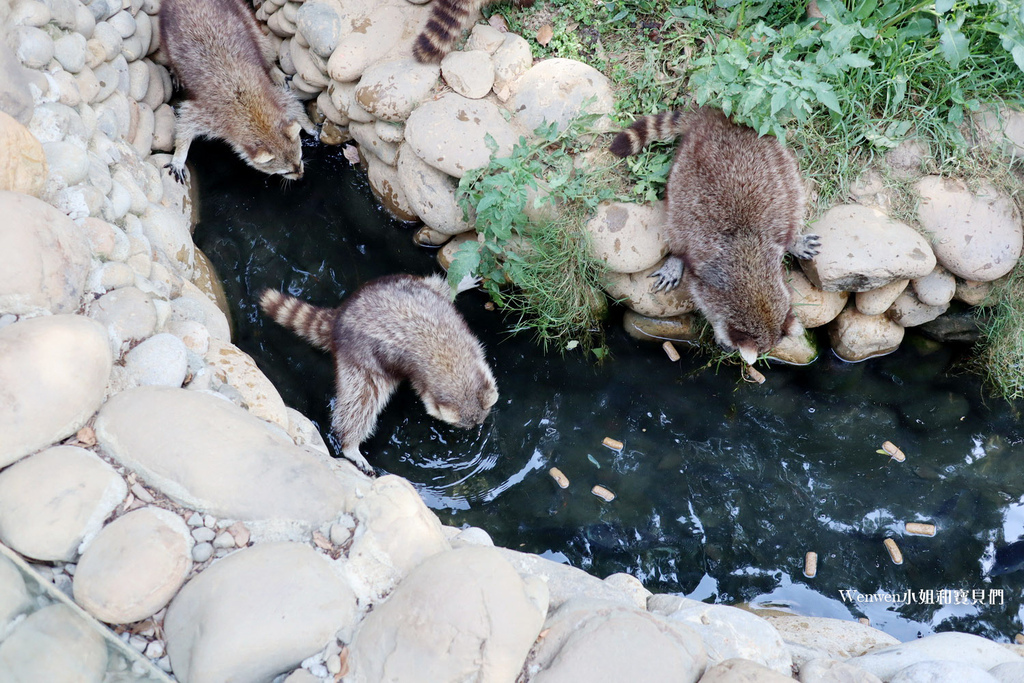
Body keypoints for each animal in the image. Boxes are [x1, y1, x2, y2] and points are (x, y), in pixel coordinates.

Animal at [156, 0, 311, 181]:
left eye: (300, 158)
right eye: (286, 172)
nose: (300, 176)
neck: (253, 113)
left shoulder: (272, 95)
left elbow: (292, 103)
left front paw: (308, 124)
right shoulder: (211, 114)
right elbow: (186, 122)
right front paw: (179, 155)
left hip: (242, 13)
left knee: (264, 47)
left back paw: (273, 69)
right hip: (166, 31)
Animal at [256, 272, 495, 475]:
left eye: (480, 421)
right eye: (460, 425)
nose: (477, 430)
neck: (451, 363)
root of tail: (341, 314)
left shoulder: (468, 342)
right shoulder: (420, 372)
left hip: (407, 284)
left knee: (439, 286)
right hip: (360, 356)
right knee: (361, 400)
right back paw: (351, 444)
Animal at [610, 107, 819, 366]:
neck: (753, 279)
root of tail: (718, 121)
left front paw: (793, 243)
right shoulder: (709, 283)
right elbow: (706, 304)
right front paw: (721, 334)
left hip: (778, 160)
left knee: (794, 195)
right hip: (684, 171)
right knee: (675, 221)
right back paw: (677, 256)